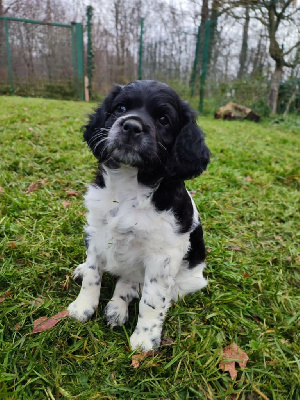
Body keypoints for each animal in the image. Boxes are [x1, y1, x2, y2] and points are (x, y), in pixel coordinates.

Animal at [67, 79, 210, 352]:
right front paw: (83, 307)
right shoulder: (96, 232)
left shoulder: (162, 257)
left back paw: (117, 307)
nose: (131, 126)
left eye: (164, 119)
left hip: (188, 281)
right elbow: (92, 273)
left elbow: (152, 299)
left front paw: (145, 340)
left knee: (133, 285)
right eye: (120, 108)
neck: (129, 184)